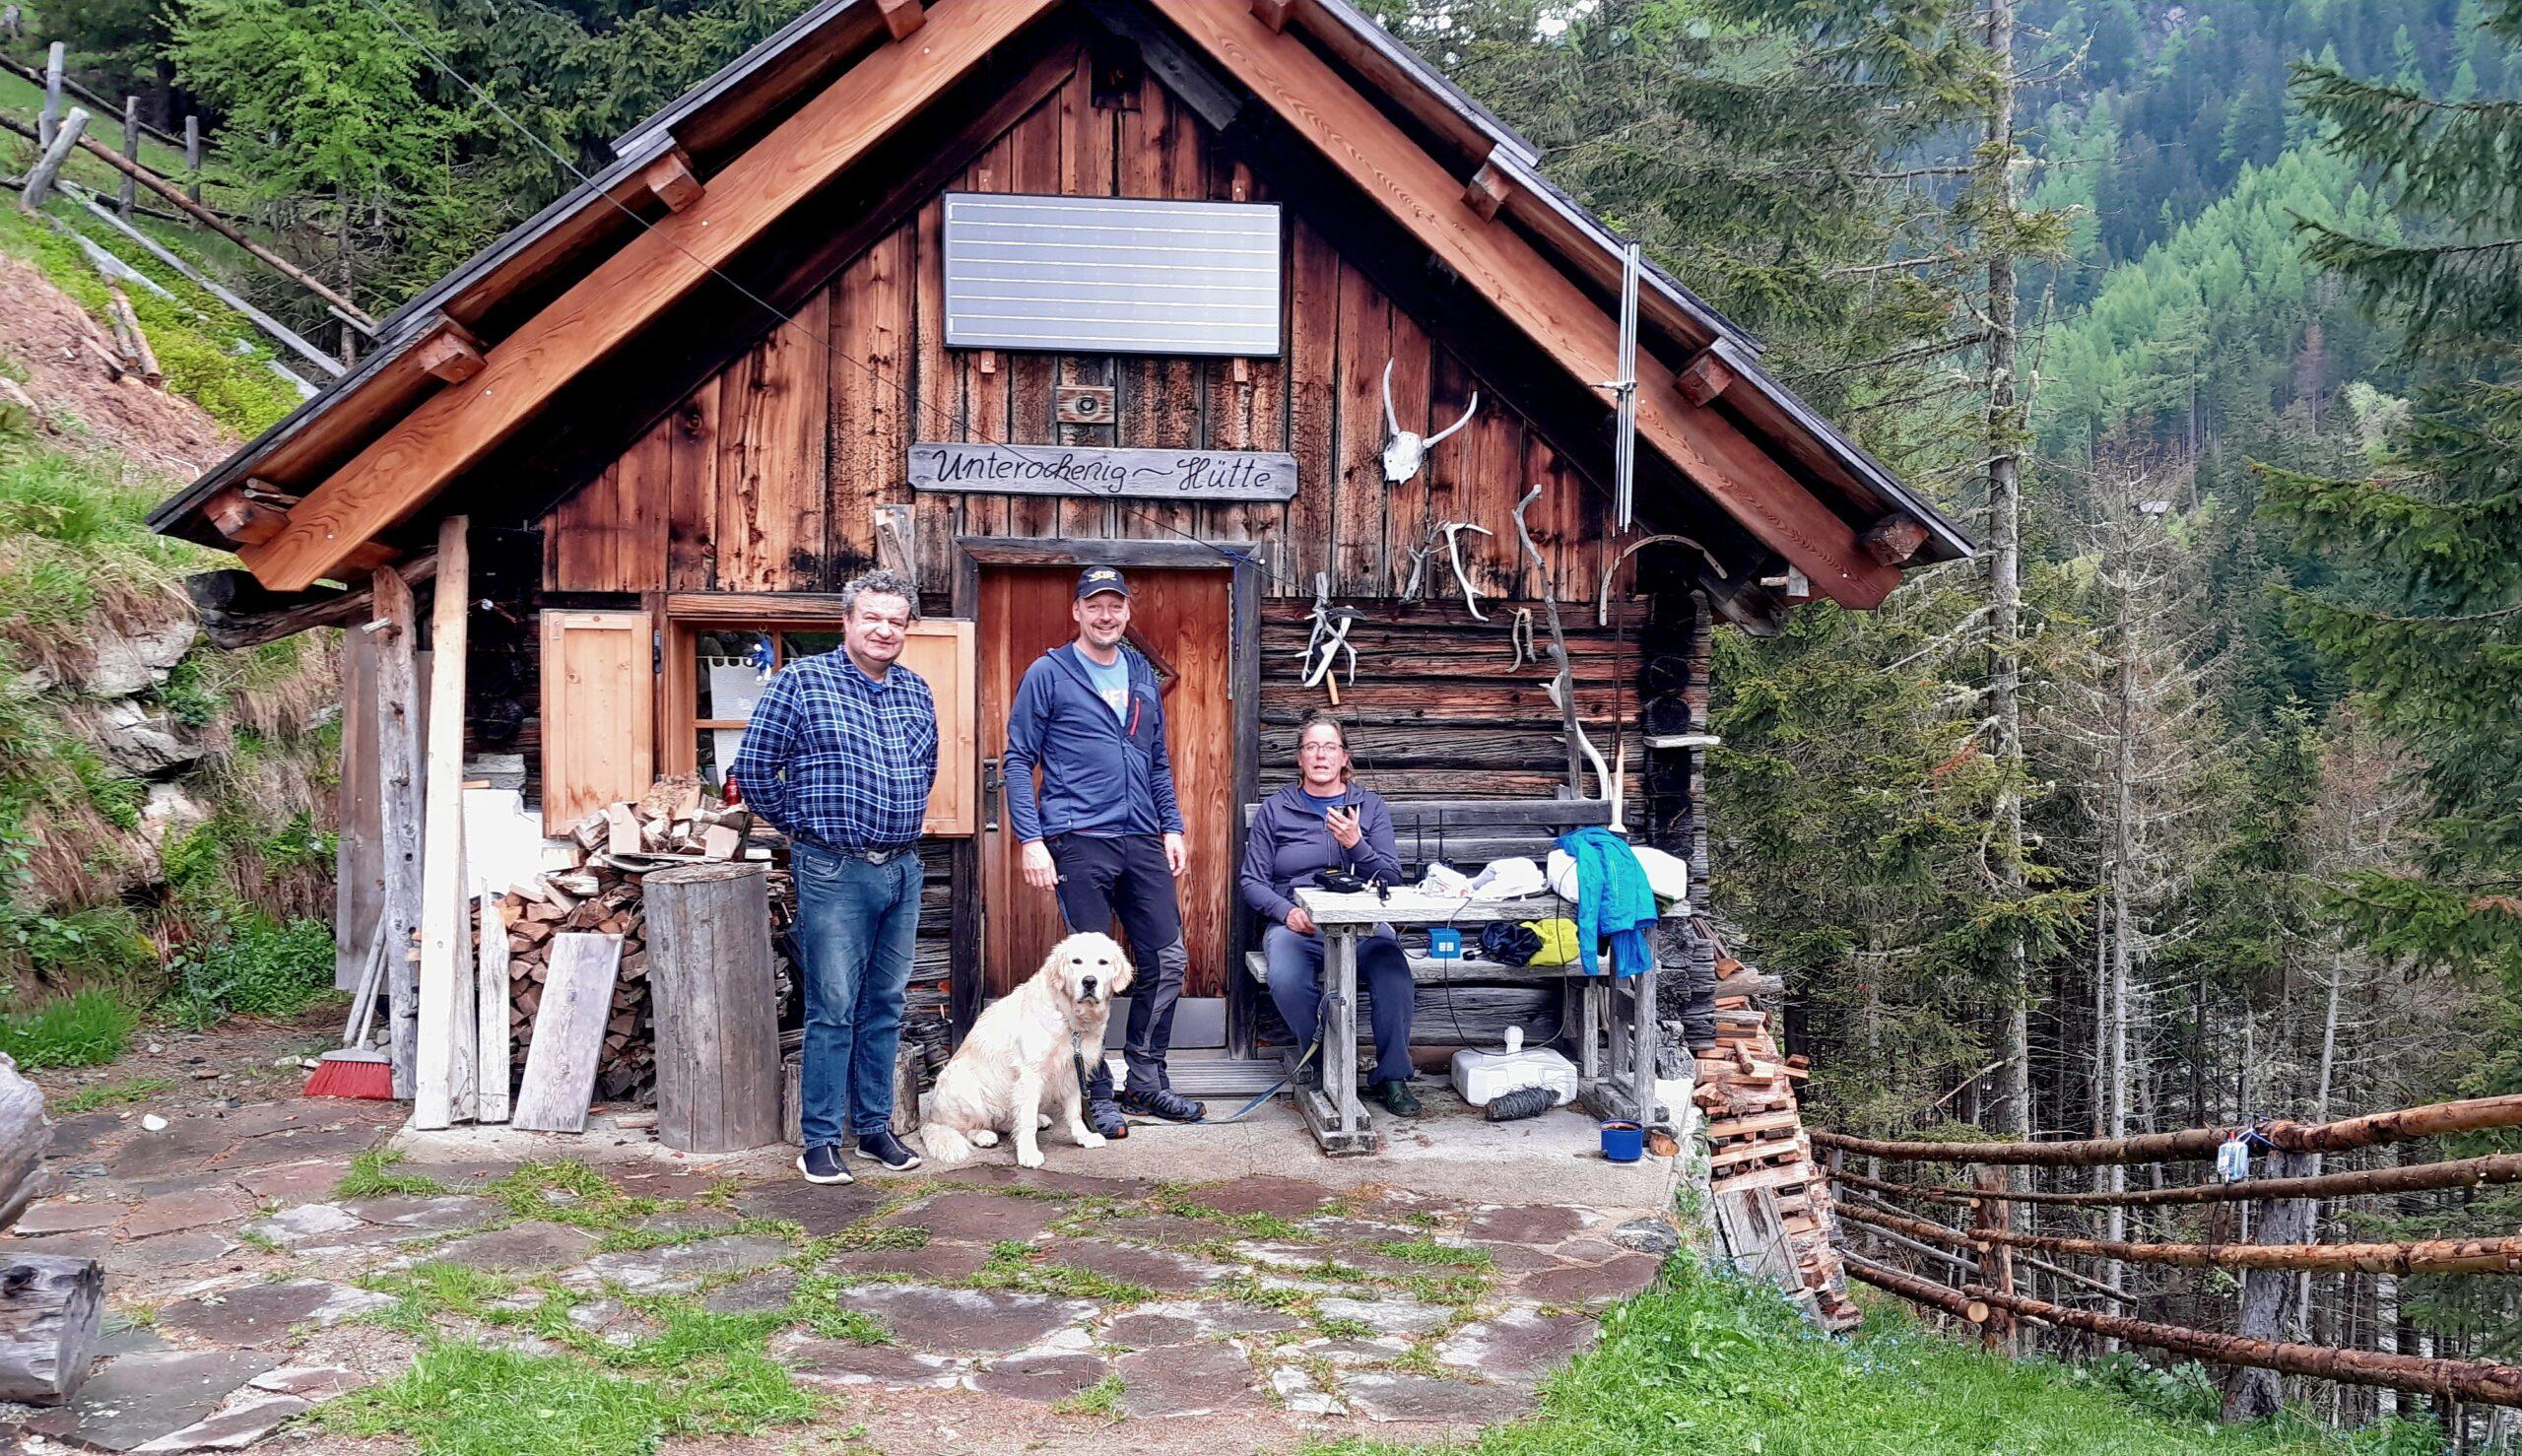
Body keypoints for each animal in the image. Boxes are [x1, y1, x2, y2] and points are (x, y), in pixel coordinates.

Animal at [917, 928, 1135, 1170]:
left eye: (1103, 962)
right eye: (1076, 961)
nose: (1089, 982)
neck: (1068, 1017)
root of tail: (931, 1119)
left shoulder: (1072, 1070)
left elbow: (1075, 1113)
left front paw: (1083, 1137)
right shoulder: (1031, 1073)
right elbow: (1027, 1119)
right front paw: (1029, 1152)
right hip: (964, 1086)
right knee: (963, 1127)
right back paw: (984, 1135)